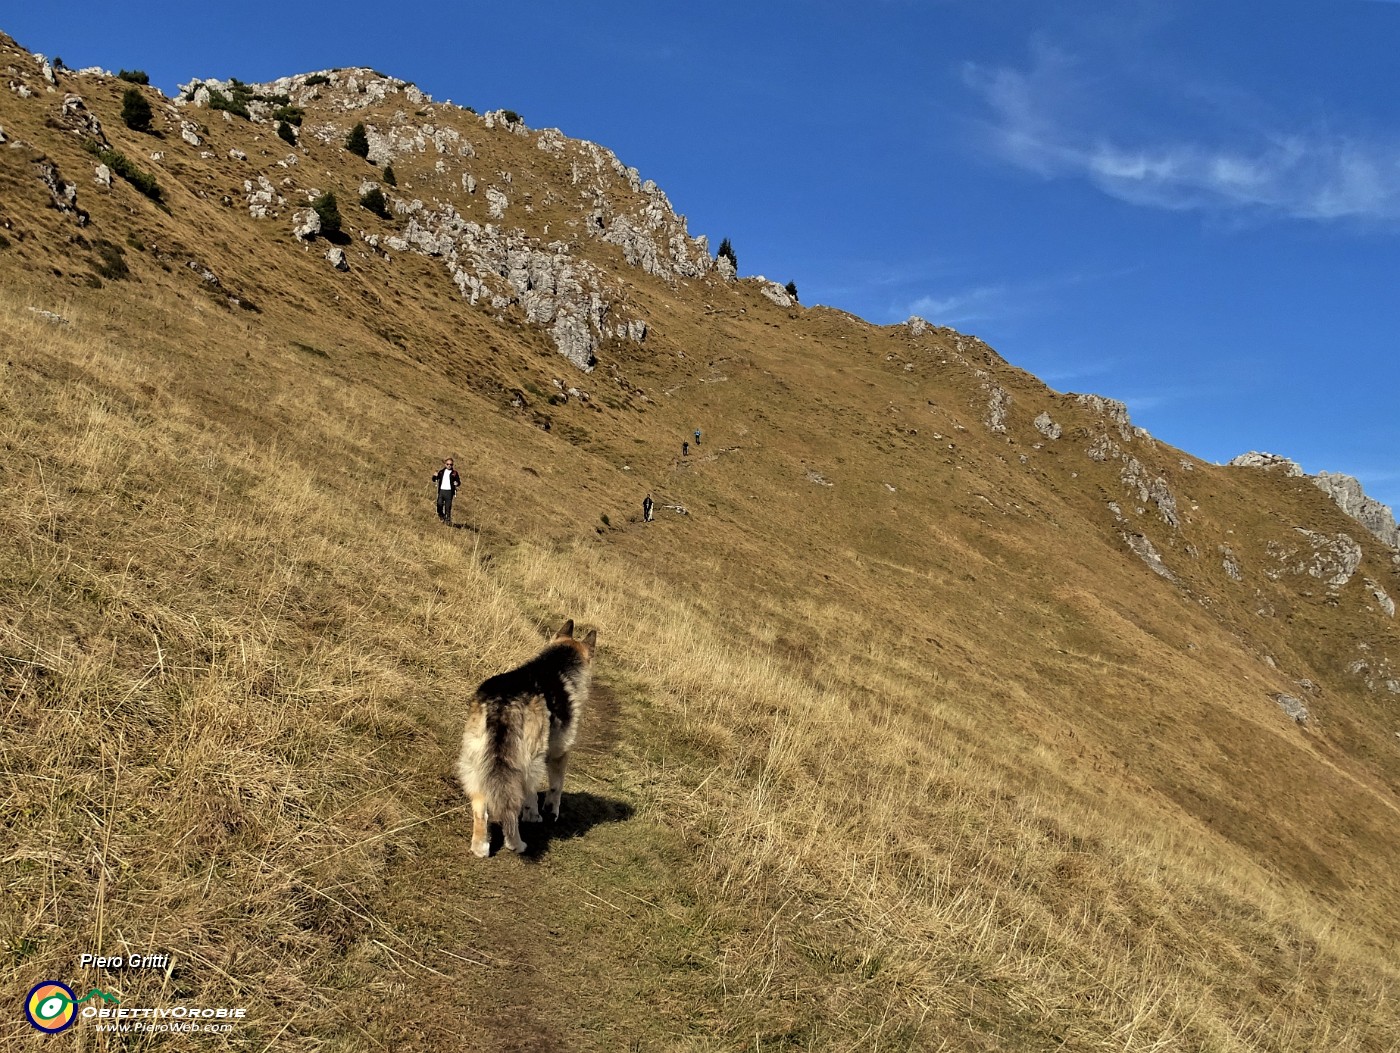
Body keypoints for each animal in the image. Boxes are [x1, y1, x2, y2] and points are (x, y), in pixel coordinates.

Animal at [453, 621, 596, 856]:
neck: (557, 663)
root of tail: (503, 702)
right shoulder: (559, 753)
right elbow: (555, 787)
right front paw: (546, 813)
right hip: (526, 763)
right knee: (512, 808)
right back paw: (516, 844)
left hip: (475, 761)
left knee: (480, 810)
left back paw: (480, 847)